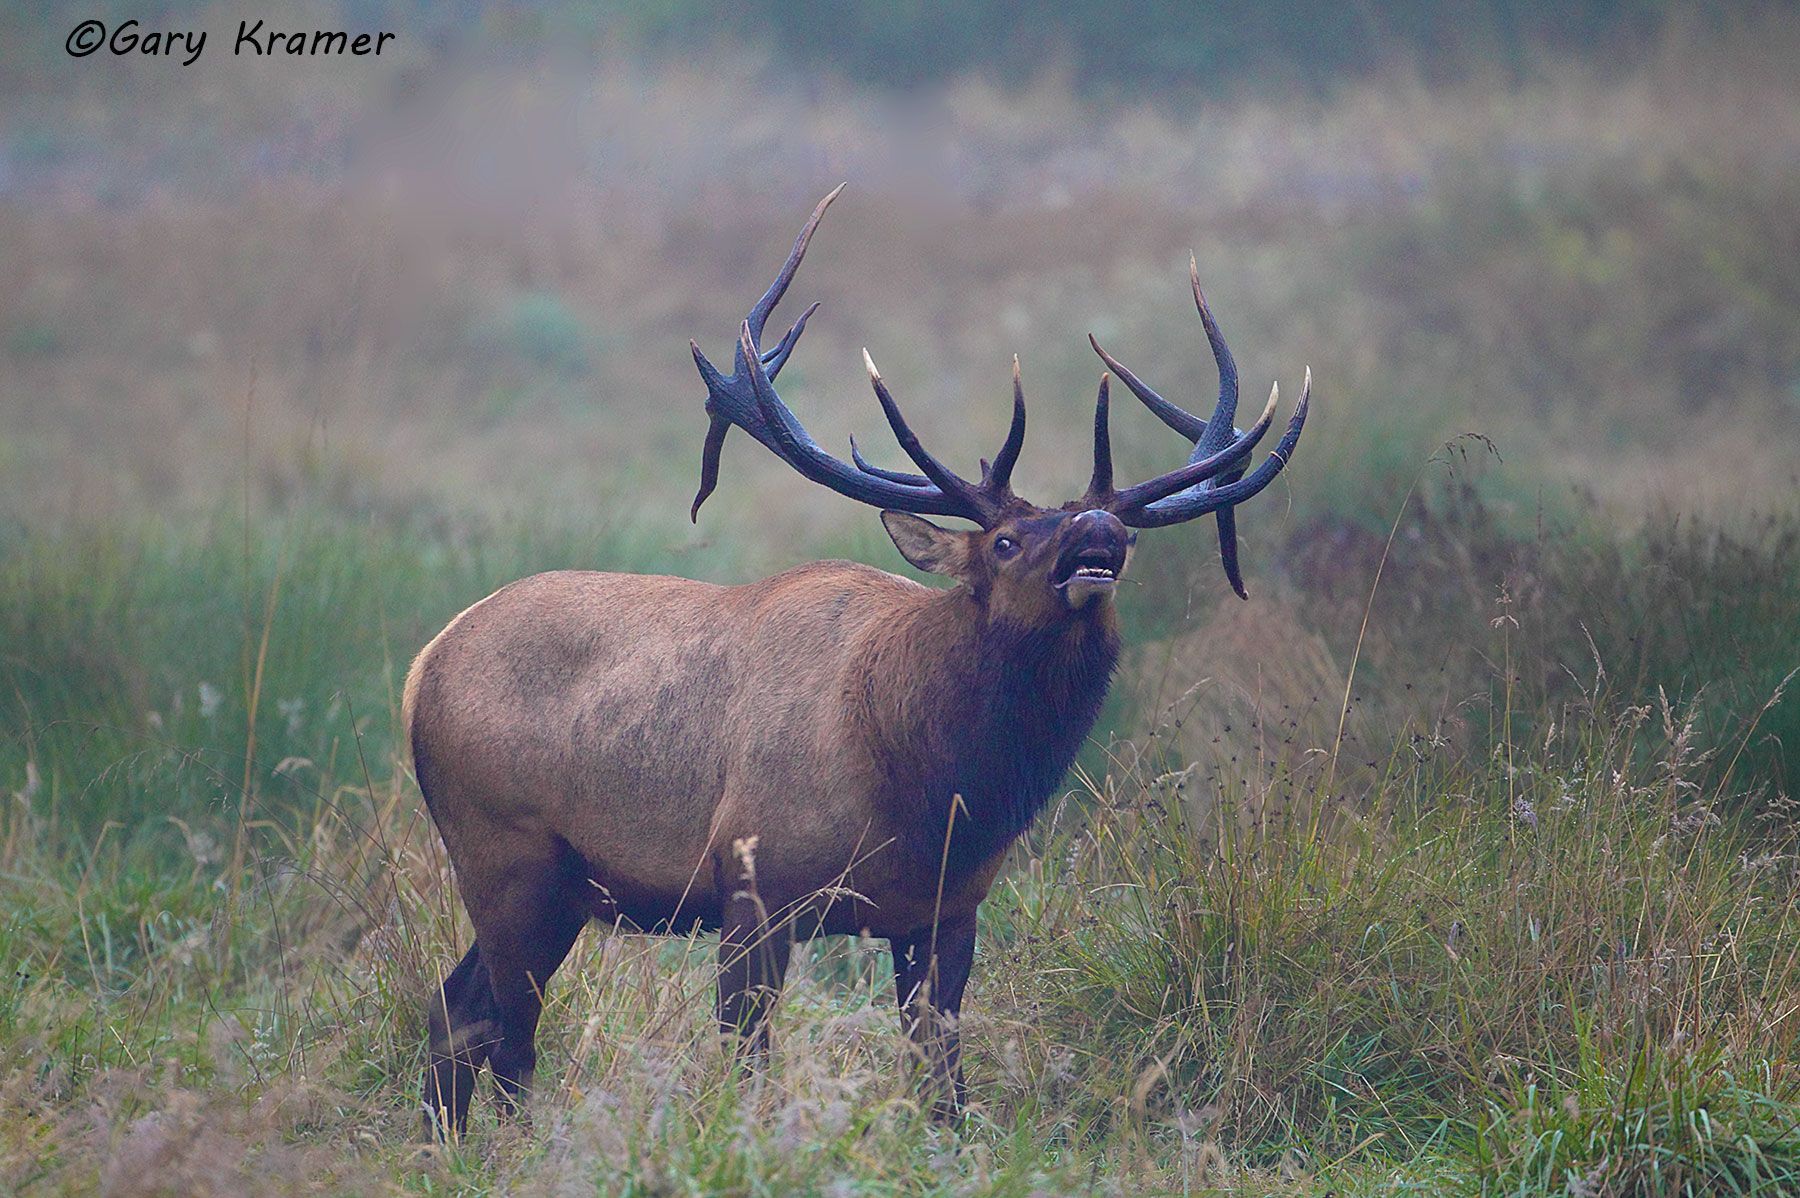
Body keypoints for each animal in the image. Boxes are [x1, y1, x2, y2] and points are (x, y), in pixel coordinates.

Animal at [405, 186, 1308, 1137]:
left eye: (1125, 535)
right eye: (1005, 540)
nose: (1100, 529)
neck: (933, 788)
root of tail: (423, 664)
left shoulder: (947, 910)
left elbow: (942, 1079)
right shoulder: (753, 885)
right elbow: (747, 1065)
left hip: (558, 887)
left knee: (455, 1007)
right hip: (506, 853)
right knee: (504, 1031)